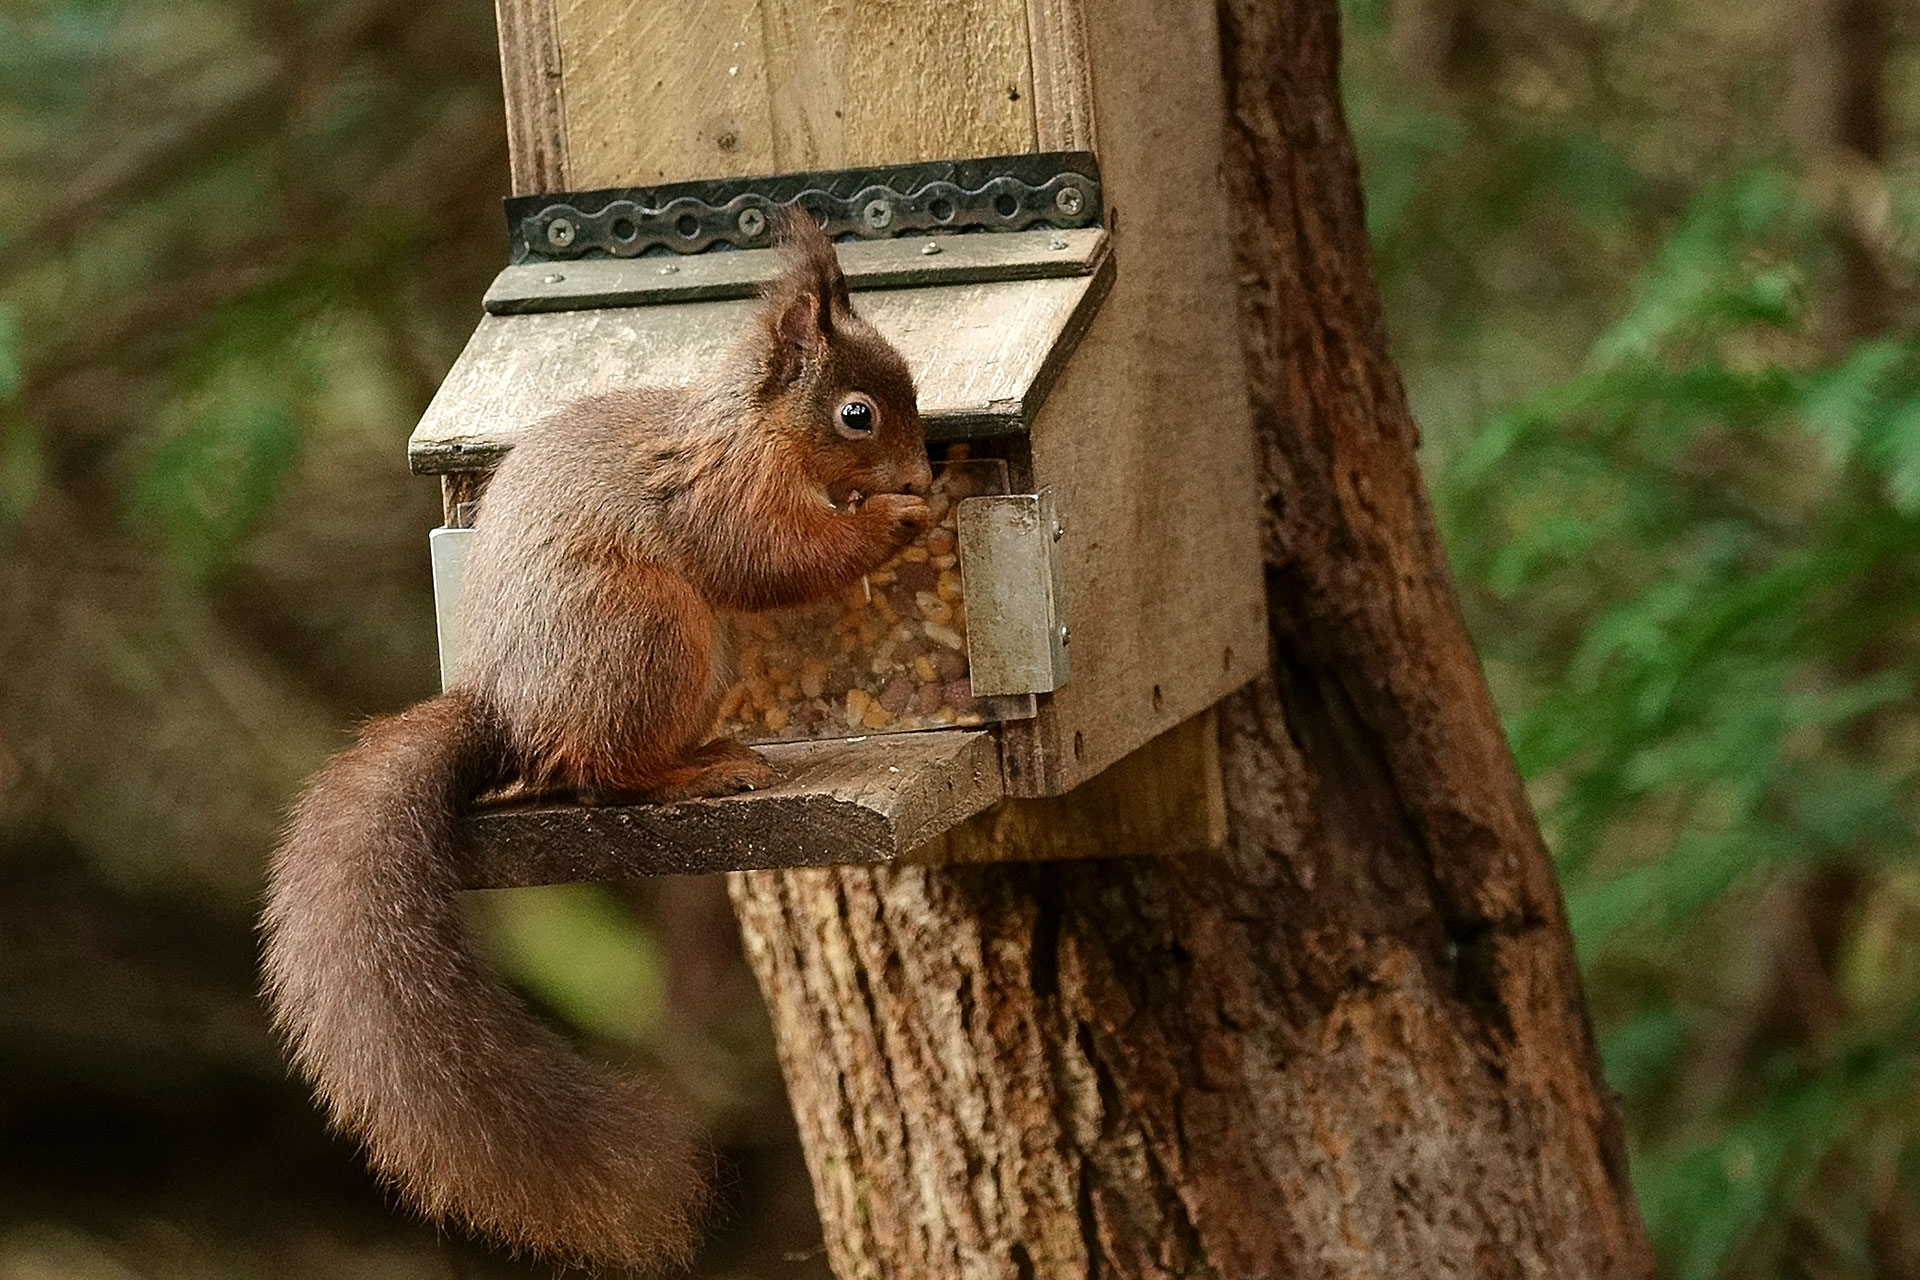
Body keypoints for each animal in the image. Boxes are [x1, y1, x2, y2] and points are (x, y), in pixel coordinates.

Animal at [259, 214, 932, 1270]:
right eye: (858, 414)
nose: (923, 475)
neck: (753, 433)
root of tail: (506, 717)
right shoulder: (719, 497)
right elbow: (771, 558)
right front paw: (893, 524)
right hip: (649, 630)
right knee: (603, 777)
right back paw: (695, 775)